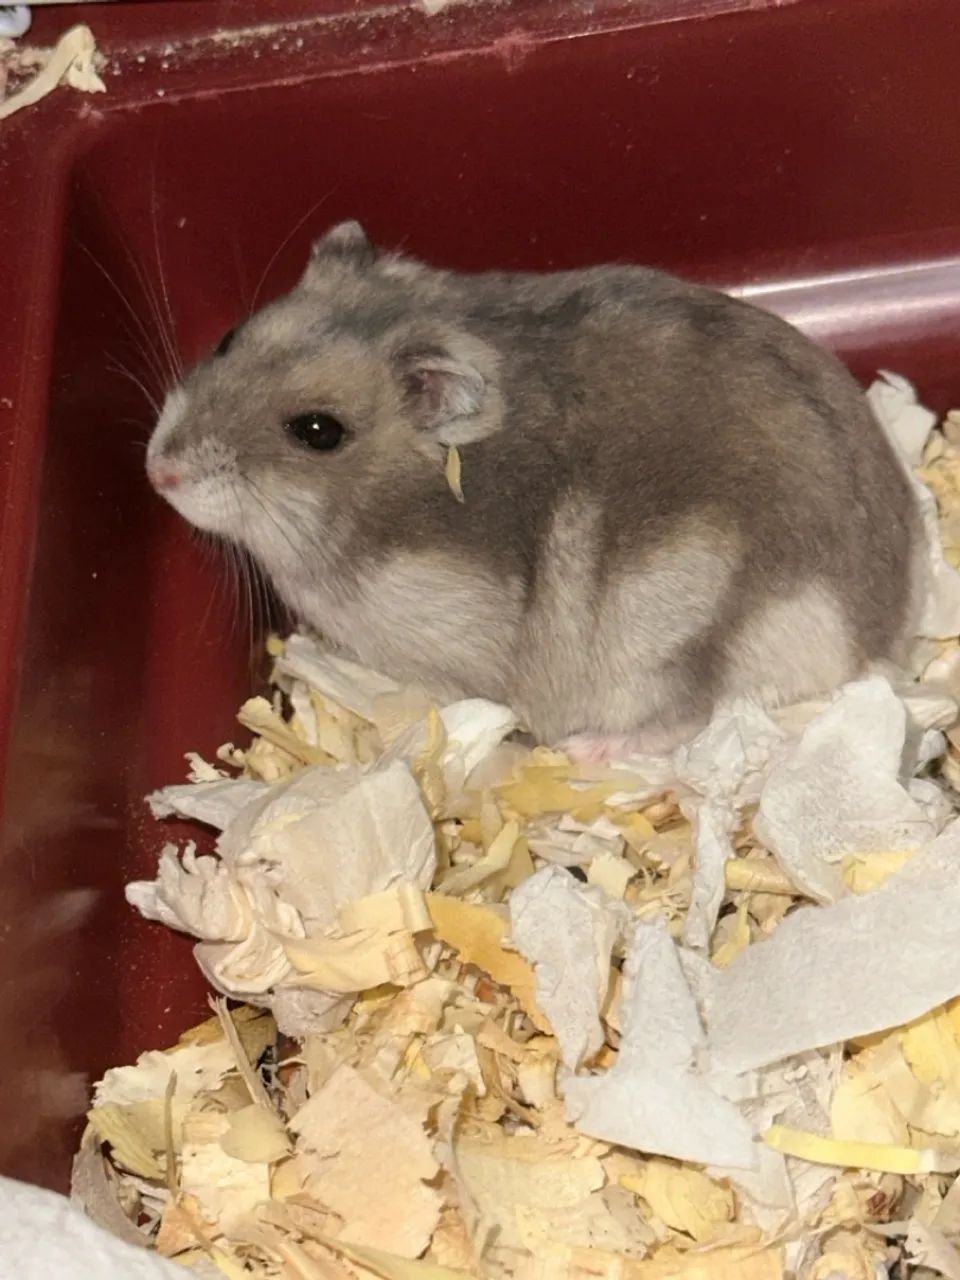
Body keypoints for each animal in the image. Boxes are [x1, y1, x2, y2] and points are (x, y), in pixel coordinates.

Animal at [146, 220, 923, 759]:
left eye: (316, 430)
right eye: (229, 337)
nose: (158, 472)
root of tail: (882, 637)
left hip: (672, 631)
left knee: (690, 715)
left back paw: (585, 753)